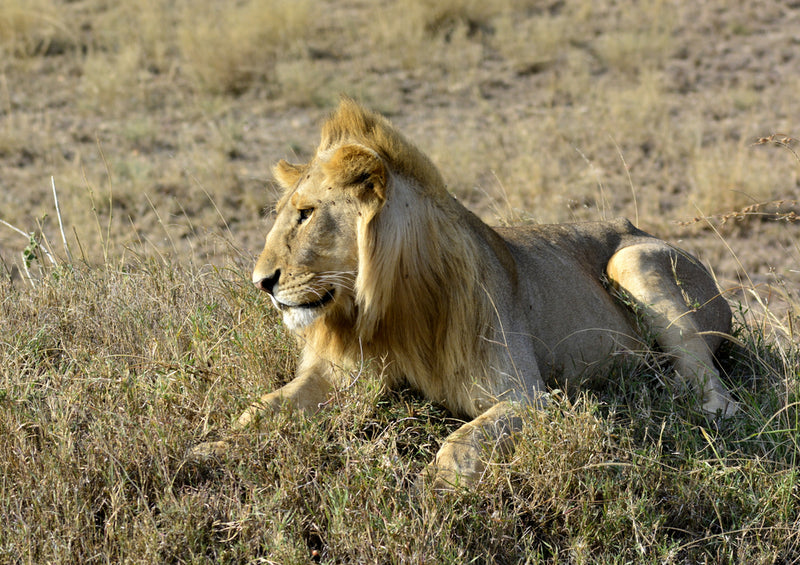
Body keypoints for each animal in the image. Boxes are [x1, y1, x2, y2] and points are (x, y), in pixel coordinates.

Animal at [225, 99, 736, 486]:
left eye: (306, 213)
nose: (260, 282)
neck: (392, 305)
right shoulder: (344, 375)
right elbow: (260, 409)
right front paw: (217, 448)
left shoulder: (528, 397)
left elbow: (460, 443)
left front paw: (433, 495)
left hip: (634, 259)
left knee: (711, 382)